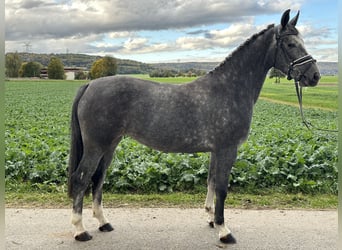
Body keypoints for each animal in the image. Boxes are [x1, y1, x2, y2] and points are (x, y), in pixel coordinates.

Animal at [67, 10, 320, 244]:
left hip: (109, 146)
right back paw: (80, 230)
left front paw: (211, 219)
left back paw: (103, 222)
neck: (229, 88)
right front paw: (224, 231)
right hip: (96, 146)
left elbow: (211, 182)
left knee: (98, 179)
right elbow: (222, 188)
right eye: (291, 44)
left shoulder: (216, 151)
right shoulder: (227, 149)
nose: (315, 76)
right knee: (81, 179)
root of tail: (90, 85)